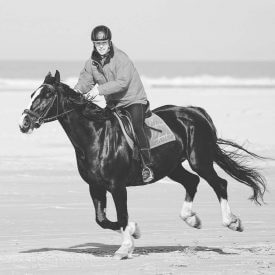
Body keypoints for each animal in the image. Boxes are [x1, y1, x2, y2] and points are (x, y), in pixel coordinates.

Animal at [17, 71, 268, 260]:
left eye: (47, 94)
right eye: (32, 94)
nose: (24, 122)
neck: (96, 136)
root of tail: (195, 112)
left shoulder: (117, 186)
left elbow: (121, 215)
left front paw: (125, 247)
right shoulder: (95, 187)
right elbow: (103, 219)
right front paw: (134, 230)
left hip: (200, 160)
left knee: (219, 183)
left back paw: (232, 222)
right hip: (172, 167)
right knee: (192, 182)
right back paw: (192, 219)